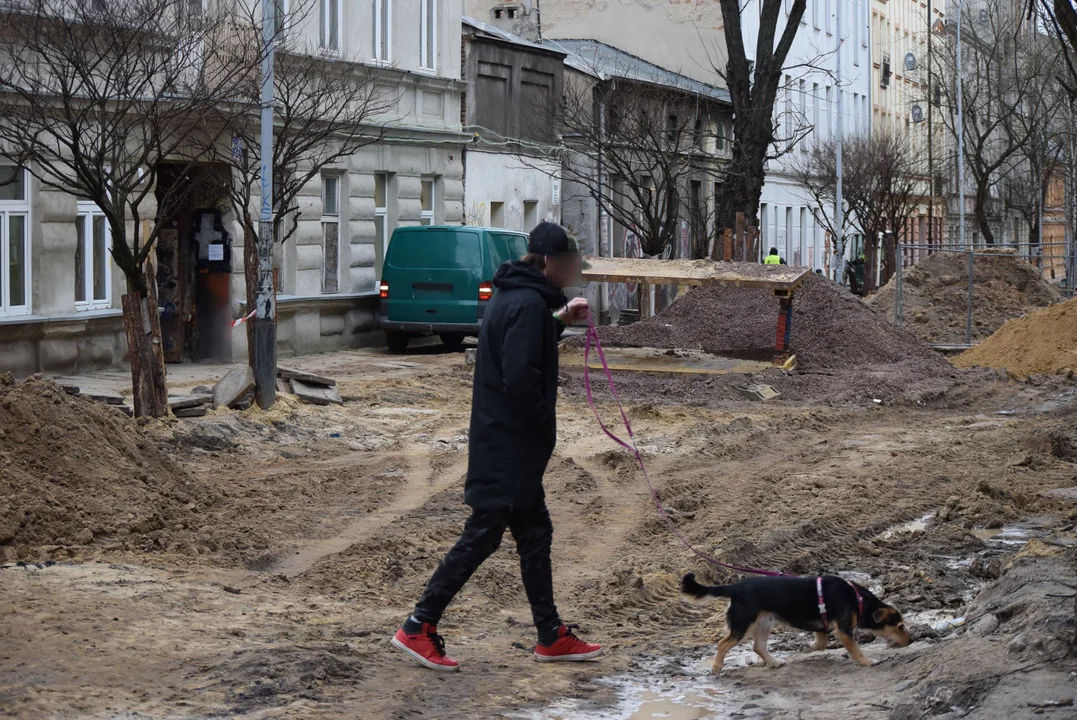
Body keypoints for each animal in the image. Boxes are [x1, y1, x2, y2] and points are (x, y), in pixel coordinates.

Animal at [680, 568, 908, 671]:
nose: (911, 640)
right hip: (743, 624)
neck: (858, 600)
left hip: (765, 622)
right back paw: (717, 667)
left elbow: (820, 644)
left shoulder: (823, 627)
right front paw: (866, 661)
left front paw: (806, 648)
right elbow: (855, 649)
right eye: (900, 626)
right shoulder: (844, 630)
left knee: (757, 646)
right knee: (723, 643)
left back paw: (773, 661)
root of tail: (736, 588)